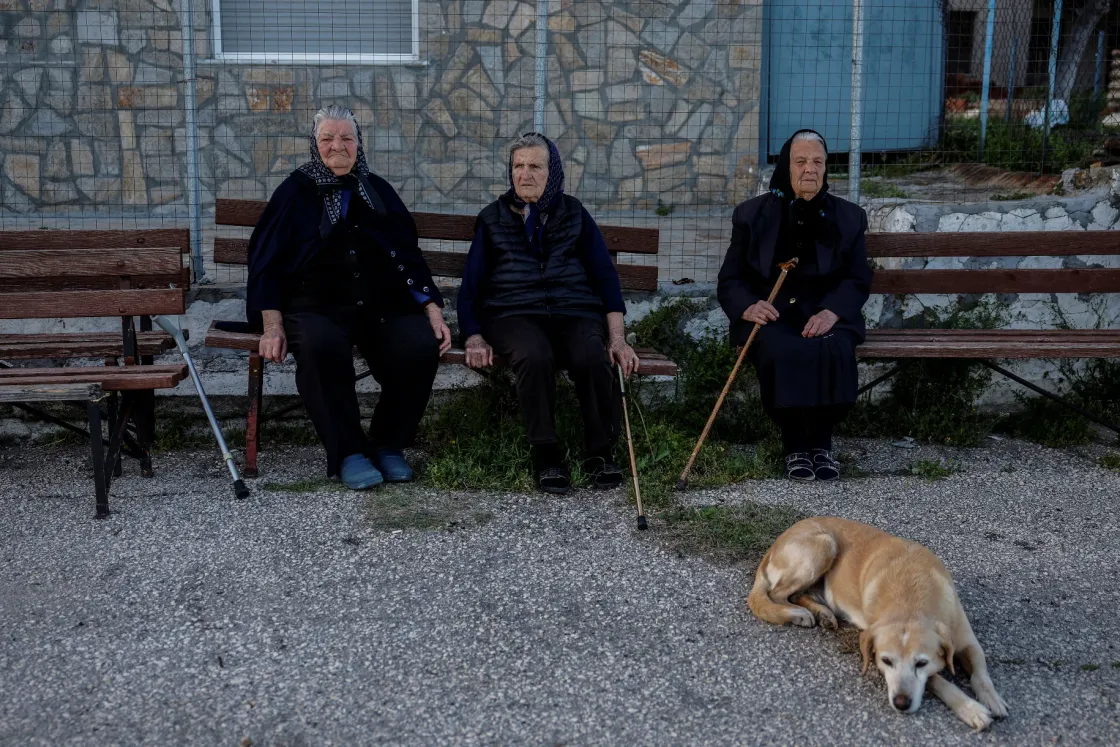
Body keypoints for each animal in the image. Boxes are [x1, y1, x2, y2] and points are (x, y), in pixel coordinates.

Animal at [752, 517, 1008, 725]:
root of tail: (778, 540)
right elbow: (939, 681)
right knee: (777, 594)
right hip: (824, 545)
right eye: (886, 661)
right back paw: (797, 613)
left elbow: (980, 672)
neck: (910, 597)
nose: (901, 703)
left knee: (797, 594)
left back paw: (822, 613)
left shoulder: (967, 641)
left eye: (921, 663)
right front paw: (971, 708)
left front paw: (992, 698)